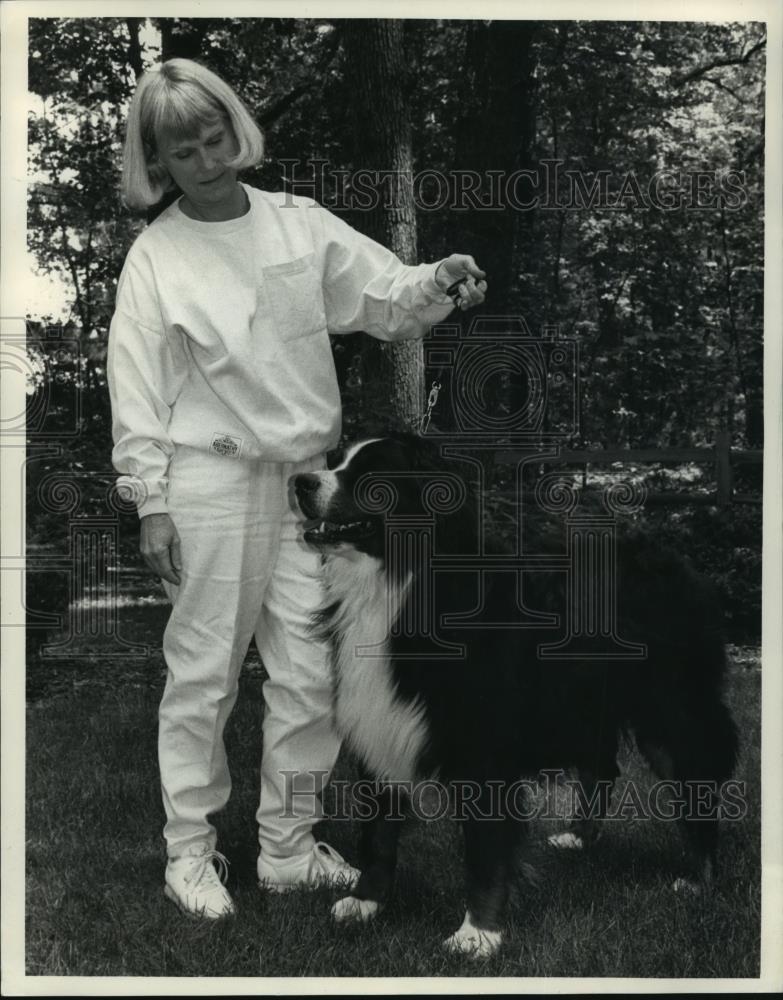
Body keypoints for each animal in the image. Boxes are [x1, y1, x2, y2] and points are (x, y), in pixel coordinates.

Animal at [290, 434, 740, 956]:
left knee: (696, 782)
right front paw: (366, 902)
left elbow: (485, 853)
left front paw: (477, 934)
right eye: (334, 460)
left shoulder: (484, 747)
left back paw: (701, 880)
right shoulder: (380, 720)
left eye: (371, 474)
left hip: (669, 709)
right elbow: (378, 838)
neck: (400, 582)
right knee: (603, 768)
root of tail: (675, 560)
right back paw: (579, 838)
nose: (299, 481)